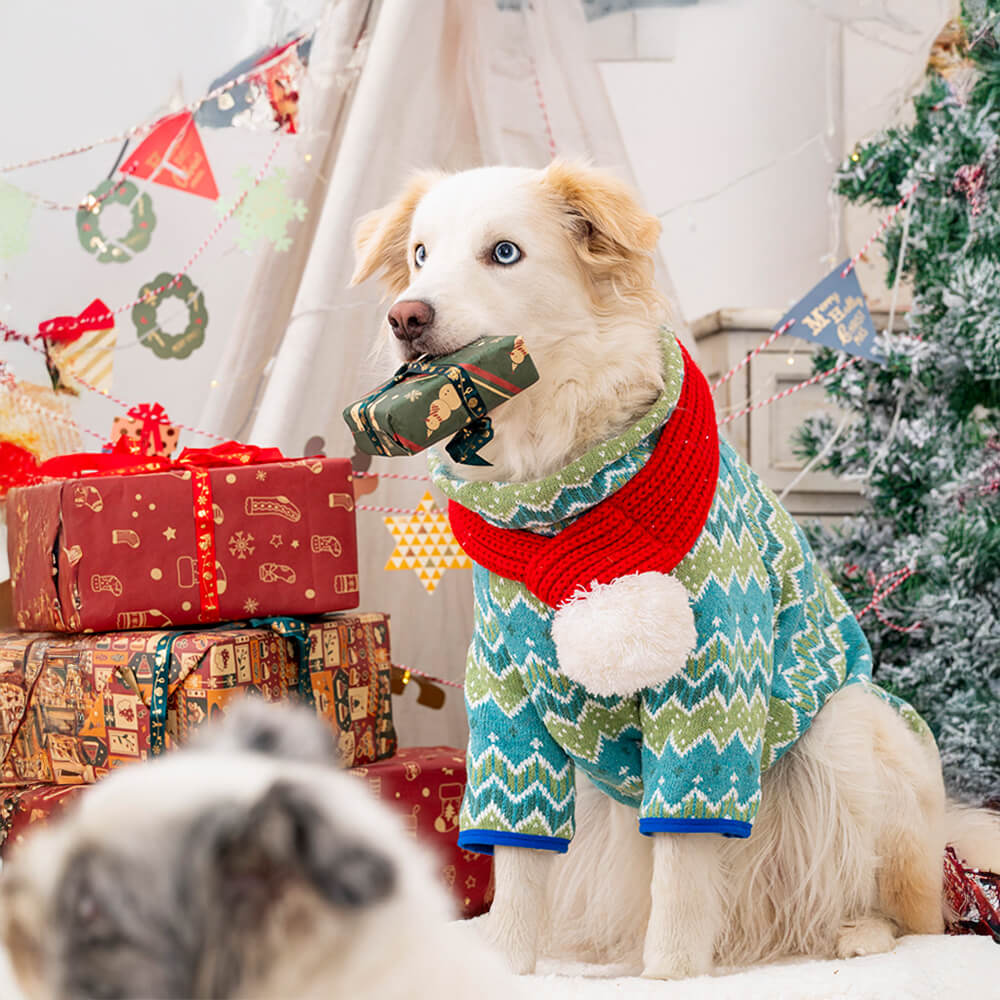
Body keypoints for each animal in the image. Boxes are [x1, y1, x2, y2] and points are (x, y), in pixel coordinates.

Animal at [352, 160, 1000, 980]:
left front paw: (668, 974)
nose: (405, 317)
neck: (557, 495)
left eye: (504, 253)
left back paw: (858, 933)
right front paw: (503, 965)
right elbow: (518, 859)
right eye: (420, 256)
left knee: (921, 916)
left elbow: (685, 864)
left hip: (851, 729)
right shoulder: (505, 695)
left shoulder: (710, 689)